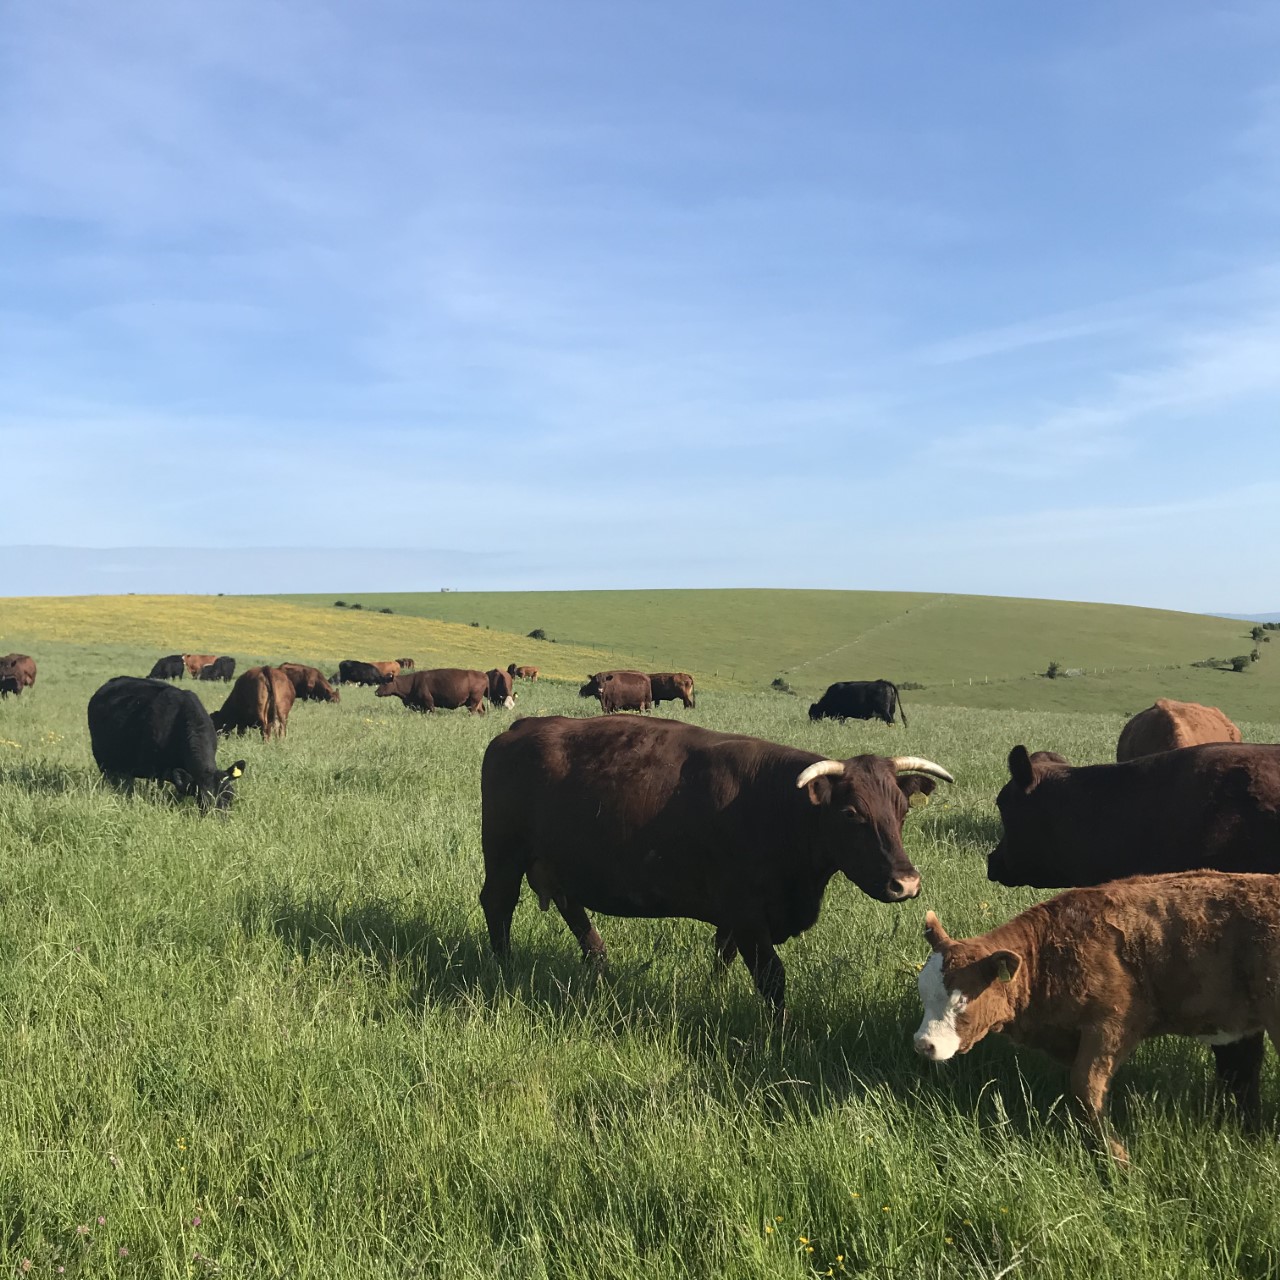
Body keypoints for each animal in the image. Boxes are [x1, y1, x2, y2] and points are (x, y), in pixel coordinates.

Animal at [480, 715, 954, 1011]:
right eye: (852, 813)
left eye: (902, 811)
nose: (906, 883)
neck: (779, 807)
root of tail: (522, 728)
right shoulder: (747, 915)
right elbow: (772, 978)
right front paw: (780, 1036)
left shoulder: (734, 917)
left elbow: (722, 957)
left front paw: (715, 992)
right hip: (504, 852)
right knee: (498, 903)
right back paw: (503, 967)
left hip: (558, 862)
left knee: (570, 907)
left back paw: (599, 961)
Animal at [914, 872, 1280, 1165]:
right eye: (922, 991)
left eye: (962, 1000)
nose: (923, 1045)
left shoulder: (1112, 1024)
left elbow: (1085, 1086)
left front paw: (1116, 1158)